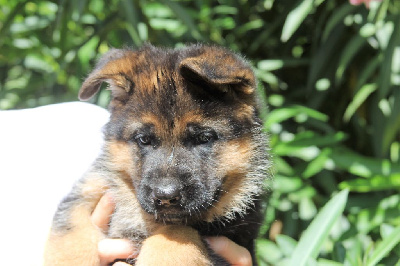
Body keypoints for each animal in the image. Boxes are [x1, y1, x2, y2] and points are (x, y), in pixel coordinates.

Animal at [43, 44, 270, 266]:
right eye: (144, 139)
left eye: (204, 138)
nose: (166, 196)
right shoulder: (87, 189)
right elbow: (69, 235)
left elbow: (174, 235)